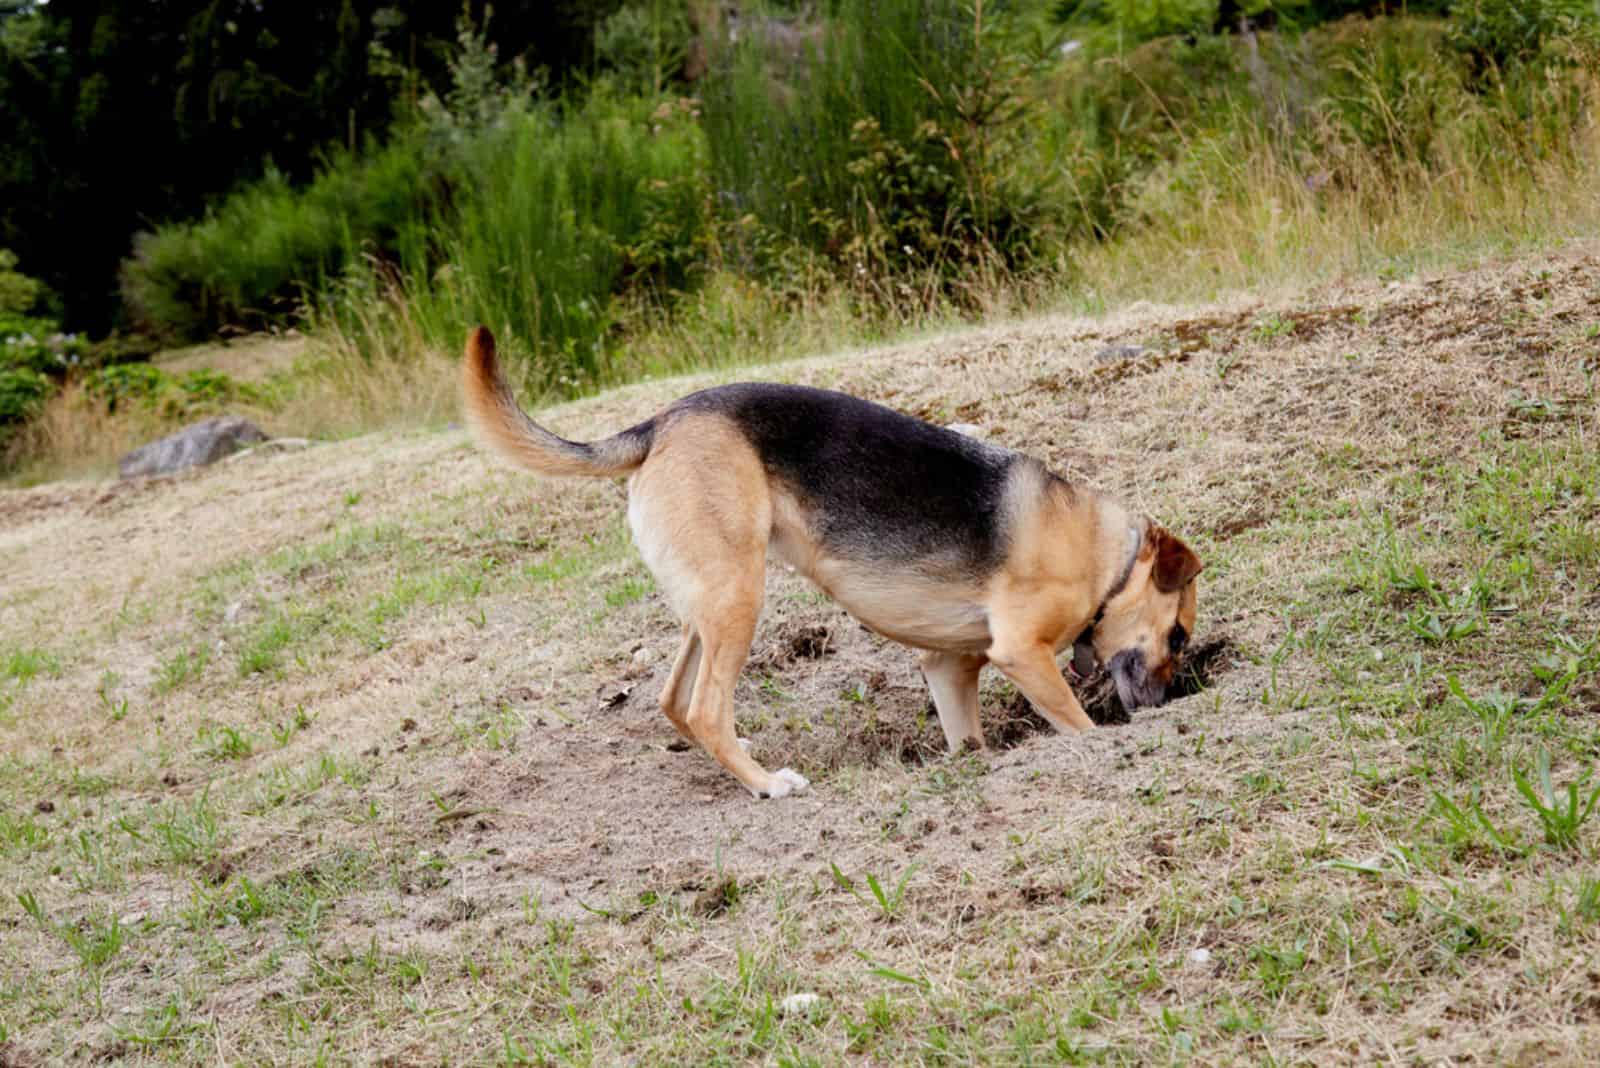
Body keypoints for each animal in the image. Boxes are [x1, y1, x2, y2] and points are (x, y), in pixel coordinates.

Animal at [464, 329, 1203, 796]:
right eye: (1178, 636)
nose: (1168, 704)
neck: (1107, 558)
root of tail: (662, 421)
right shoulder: (1023, 653)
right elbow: (1077, 724)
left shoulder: (948, 666)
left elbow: (967, 739)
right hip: (740, 596)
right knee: (706, 711)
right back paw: (766, 785)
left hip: (708, 602)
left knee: (675, 702)